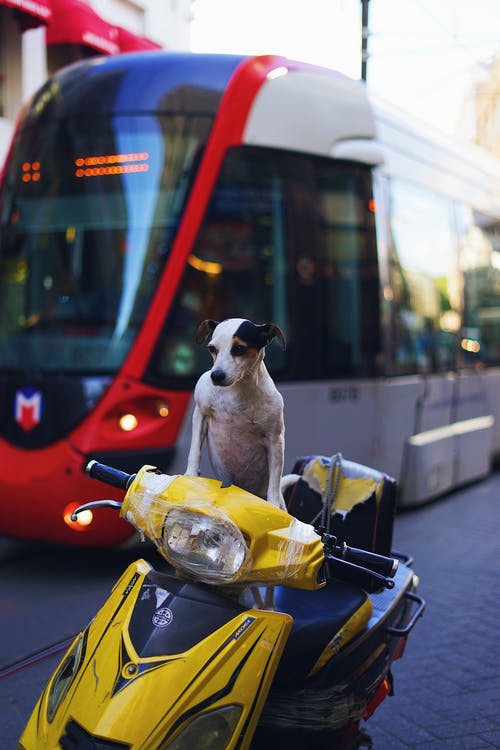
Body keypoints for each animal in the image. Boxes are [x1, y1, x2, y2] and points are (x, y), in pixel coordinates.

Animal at [187, 318, 290, 512]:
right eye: (212, 348)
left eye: (239, 348)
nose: (216, 375)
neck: (236, 392)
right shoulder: (200, 414)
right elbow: (194, 450)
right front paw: (189, 475)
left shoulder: (275, 440)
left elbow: (274, 481)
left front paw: (272, 505)